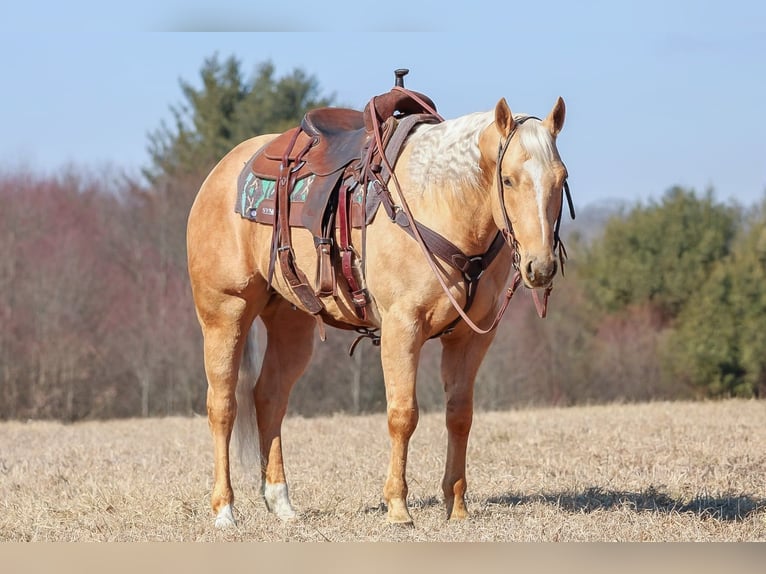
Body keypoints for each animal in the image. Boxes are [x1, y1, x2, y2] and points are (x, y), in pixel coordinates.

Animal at [184, 88, 568, 528]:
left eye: (561, 179)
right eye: (507, 179)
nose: (540, 266)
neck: (438, 201)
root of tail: (220, 173)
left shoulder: (471, 337)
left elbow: (460, 415)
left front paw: (456, 508)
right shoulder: (403, 329)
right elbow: (403, 415)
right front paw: (398, 507)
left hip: (290, 322)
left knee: (269, 397)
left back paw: (281, 503)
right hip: (224, 314)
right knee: (223, 405)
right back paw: (224, 509)